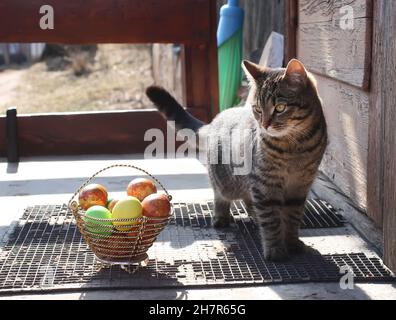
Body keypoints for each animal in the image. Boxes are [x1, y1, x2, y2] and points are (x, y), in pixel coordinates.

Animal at [146, 58, 328, 262]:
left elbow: (292, 218)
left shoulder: (299, 186)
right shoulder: (265, 183)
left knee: (249, 199)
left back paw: (254, 215)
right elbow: (272, 221)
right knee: (220, 196)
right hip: (225, 181)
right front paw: (275, 249)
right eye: (258, 109)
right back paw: (221, 217)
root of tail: (216, 119)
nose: (264, 124)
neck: (294, 147)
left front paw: (292, 242)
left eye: (280, 108)